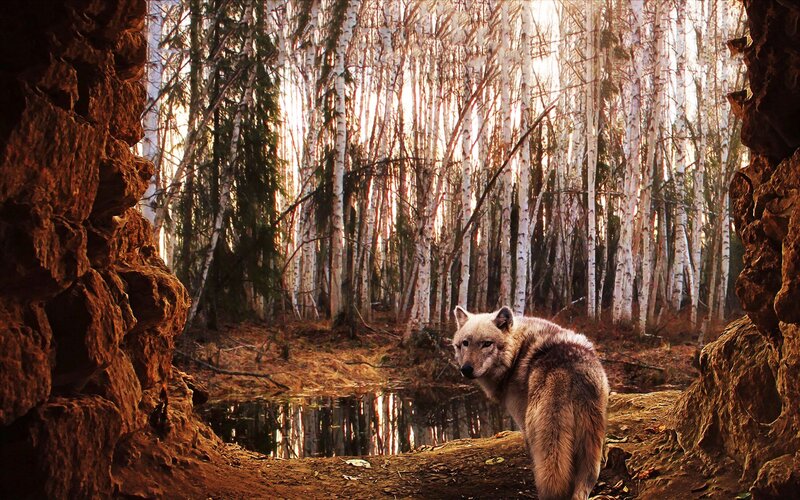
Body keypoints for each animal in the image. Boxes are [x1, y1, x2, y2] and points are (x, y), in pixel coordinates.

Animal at [452, 306, 609, 500]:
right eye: (465, 343)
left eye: (487, 343)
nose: (466, 369)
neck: (516, 354)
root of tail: (568, 370)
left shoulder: (523, 424)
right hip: (591, 448)